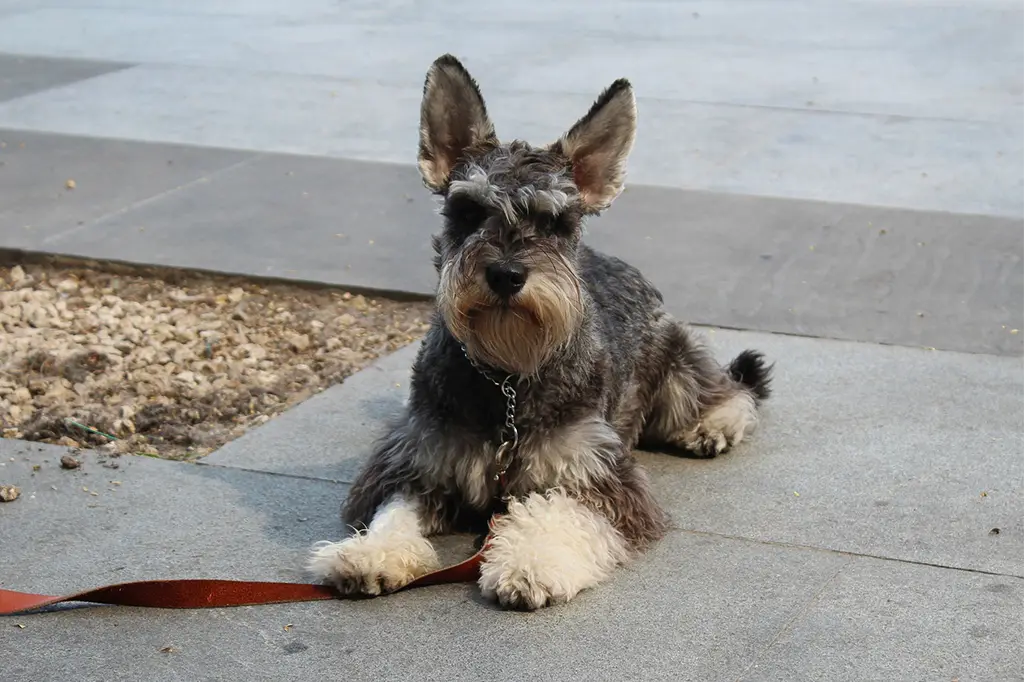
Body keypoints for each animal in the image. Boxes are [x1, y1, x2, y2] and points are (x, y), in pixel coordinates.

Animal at [307, 51, 770, 606]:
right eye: (468, 210)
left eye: (555, 222)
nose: (507, 274)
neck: (506, 379)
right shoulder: (414, 461)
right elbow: (392, 511)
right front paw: (371, 553)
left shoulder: (595, 473)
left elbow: (558, 513)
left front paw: (532, 562)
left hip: (676, 362)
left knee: (726, 388)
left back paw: (712, 424)